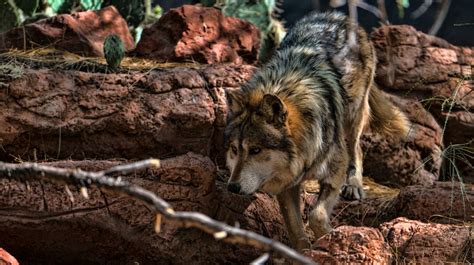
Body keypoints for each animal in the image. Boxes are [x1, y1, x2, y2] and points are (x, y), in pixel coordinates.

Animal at [224, 11, 410, 251]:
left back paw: (354, 185)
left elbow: (316, 216)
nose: (232, 188)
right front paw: (304, 252)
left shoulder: (335, 170)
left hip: (353, 115)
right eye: (235, 150)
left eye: (256, 150)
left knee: (357, 150)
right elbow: (297, 231)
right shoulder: (288, 186)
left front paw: (334, 238)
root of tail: (339, 16)